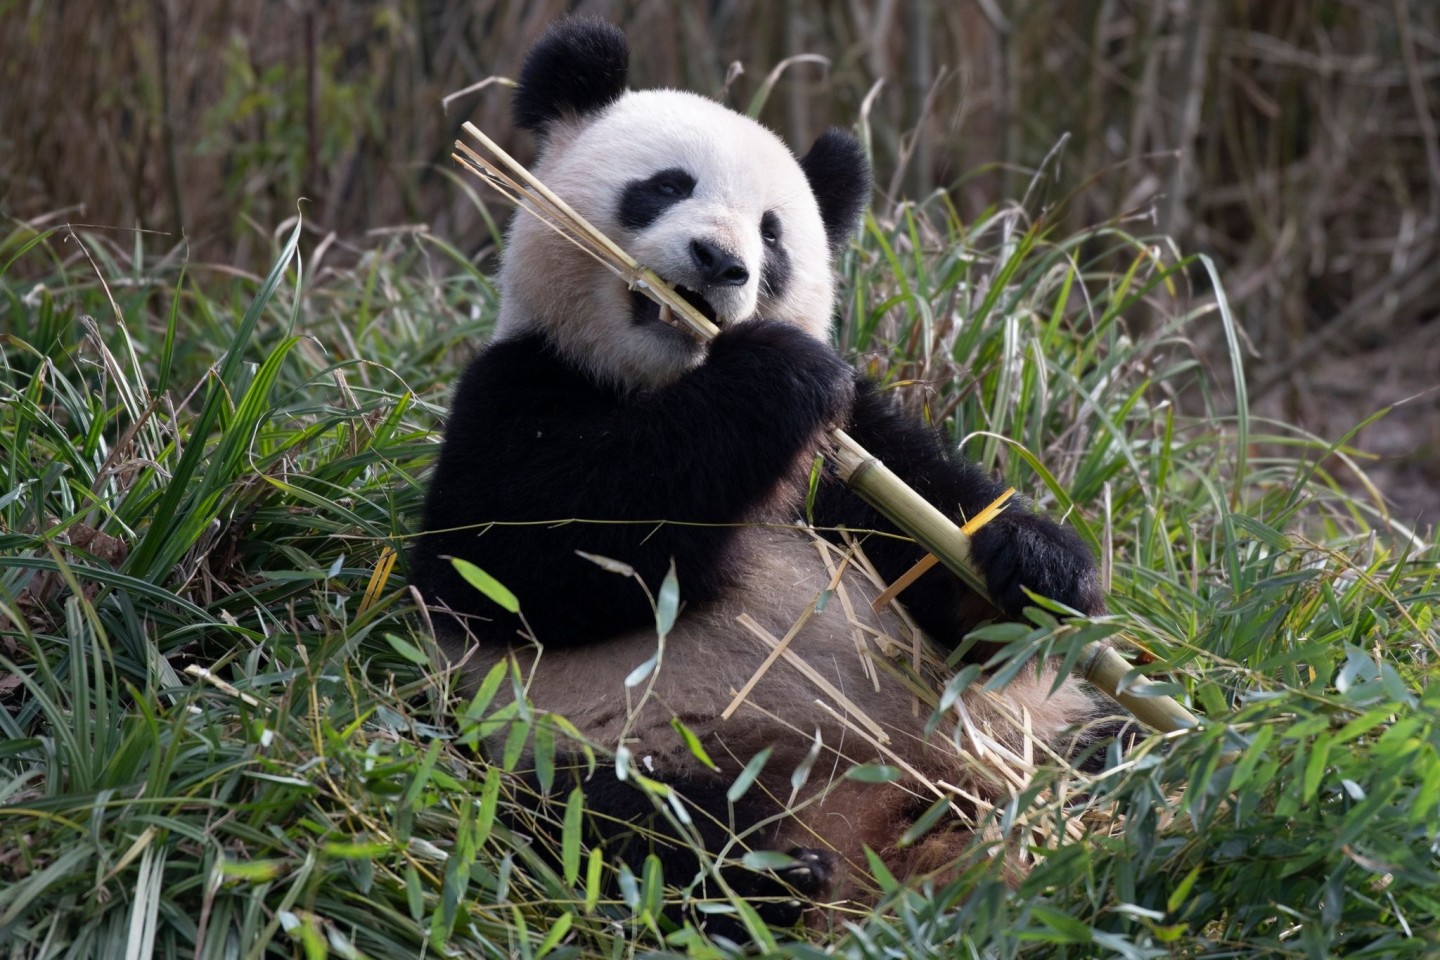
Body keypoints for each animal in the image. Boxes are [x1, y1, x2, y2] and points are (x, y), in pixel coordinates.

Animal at [411, 16, 1105, 938]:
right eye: (666, 186)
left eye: (773, 234)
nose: (718, 261)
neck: (663, 379)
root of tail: (874, 840)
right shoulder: (516, 389)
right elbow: (521, 559)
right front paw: (774, 374)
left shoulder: (849, 453)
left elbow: (939, 560)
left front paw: (1036, 562)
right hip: (589, 742)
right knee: (607, 823)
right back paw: (764, 876)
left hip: (1016, 746)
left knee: (1112, 754)